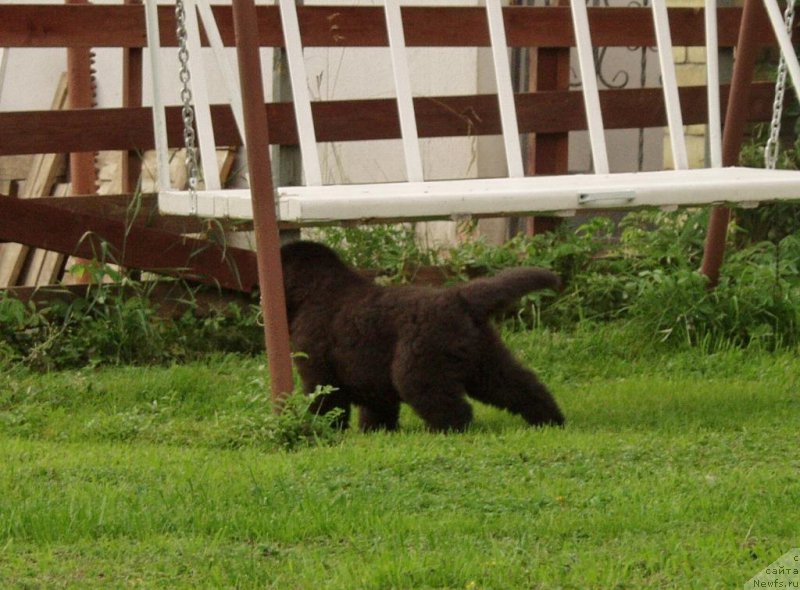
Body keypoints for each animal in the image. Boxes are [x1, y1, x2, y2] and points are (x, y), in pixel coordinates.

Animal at [280, 242, 564, 434]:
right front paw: (376, 432)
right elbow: (378, 410)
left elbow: (325, 404)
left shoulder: (318, 371)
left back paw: (444, 432)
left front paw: (323, 430)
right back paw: (551, 420)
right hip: (486, 362)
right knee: (523, 386)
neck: (313, 292)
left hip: (419, 369)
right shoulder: (372, 378)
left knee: (453, 408)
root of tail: (460, 298)